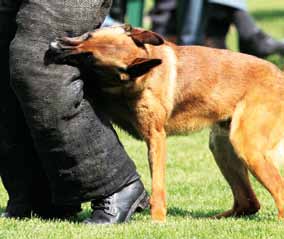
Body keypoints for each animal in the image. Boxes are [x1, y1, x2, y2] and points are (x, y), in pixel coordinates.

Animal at [44, 24, 284, 222]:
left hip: (248, 148)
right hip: (223, 147)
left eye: (88, 58)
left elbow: (157, 185)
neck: (142, 75)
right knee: (249, 202)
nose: (53, 44)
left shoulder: (156, 138)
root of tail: (280, 75)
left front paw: (157, 219)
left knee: (277, 192)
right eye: (88, 35)